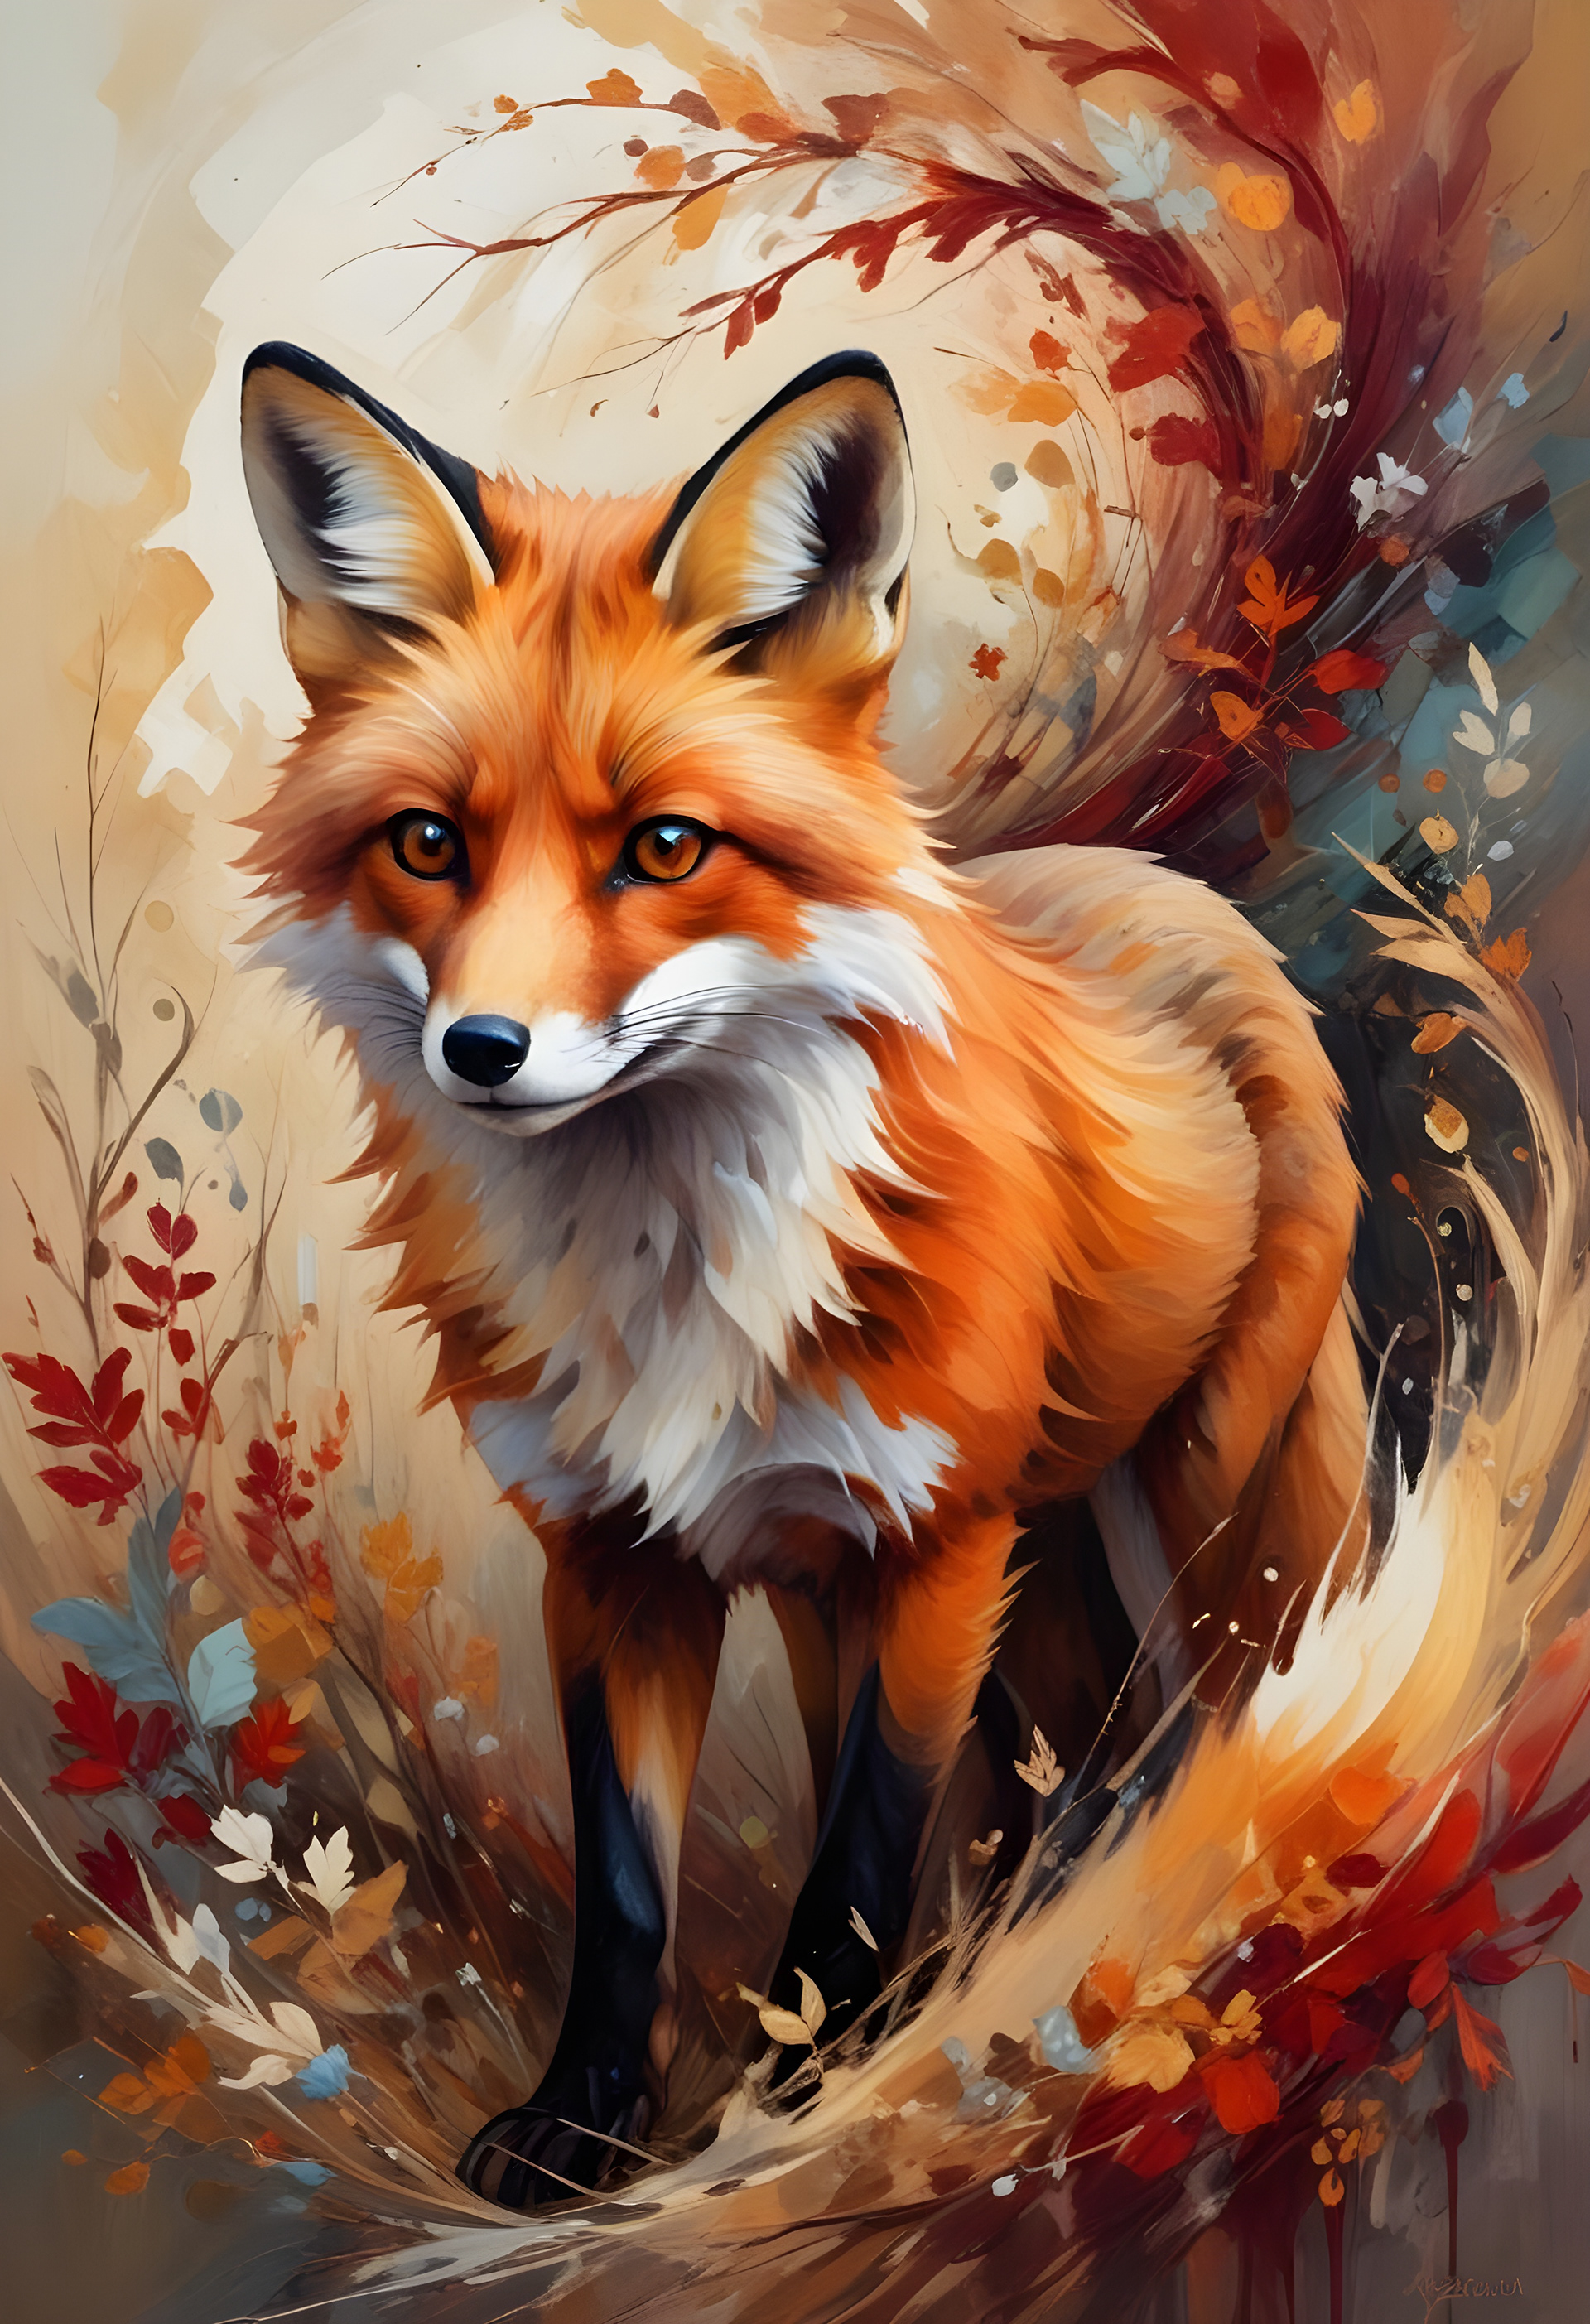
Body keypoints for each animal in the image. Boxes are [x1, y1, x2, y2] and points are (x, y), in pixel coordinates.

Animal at [238, 340, 1367, 2208]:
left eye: (665, 848)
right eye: (427, 843)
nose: (485, 1050)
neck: (670, 1267)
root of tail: (1156, 880)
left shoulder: (931, 1547)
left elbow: (851, 1875)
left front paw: (797, 2116)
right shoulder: (616, 1558)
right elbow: (629, 1887)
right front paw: (586, 2123)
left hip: (1199, 1498)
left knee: (1215, 1703)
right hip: (911, 1576)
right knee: (1064, 1767)